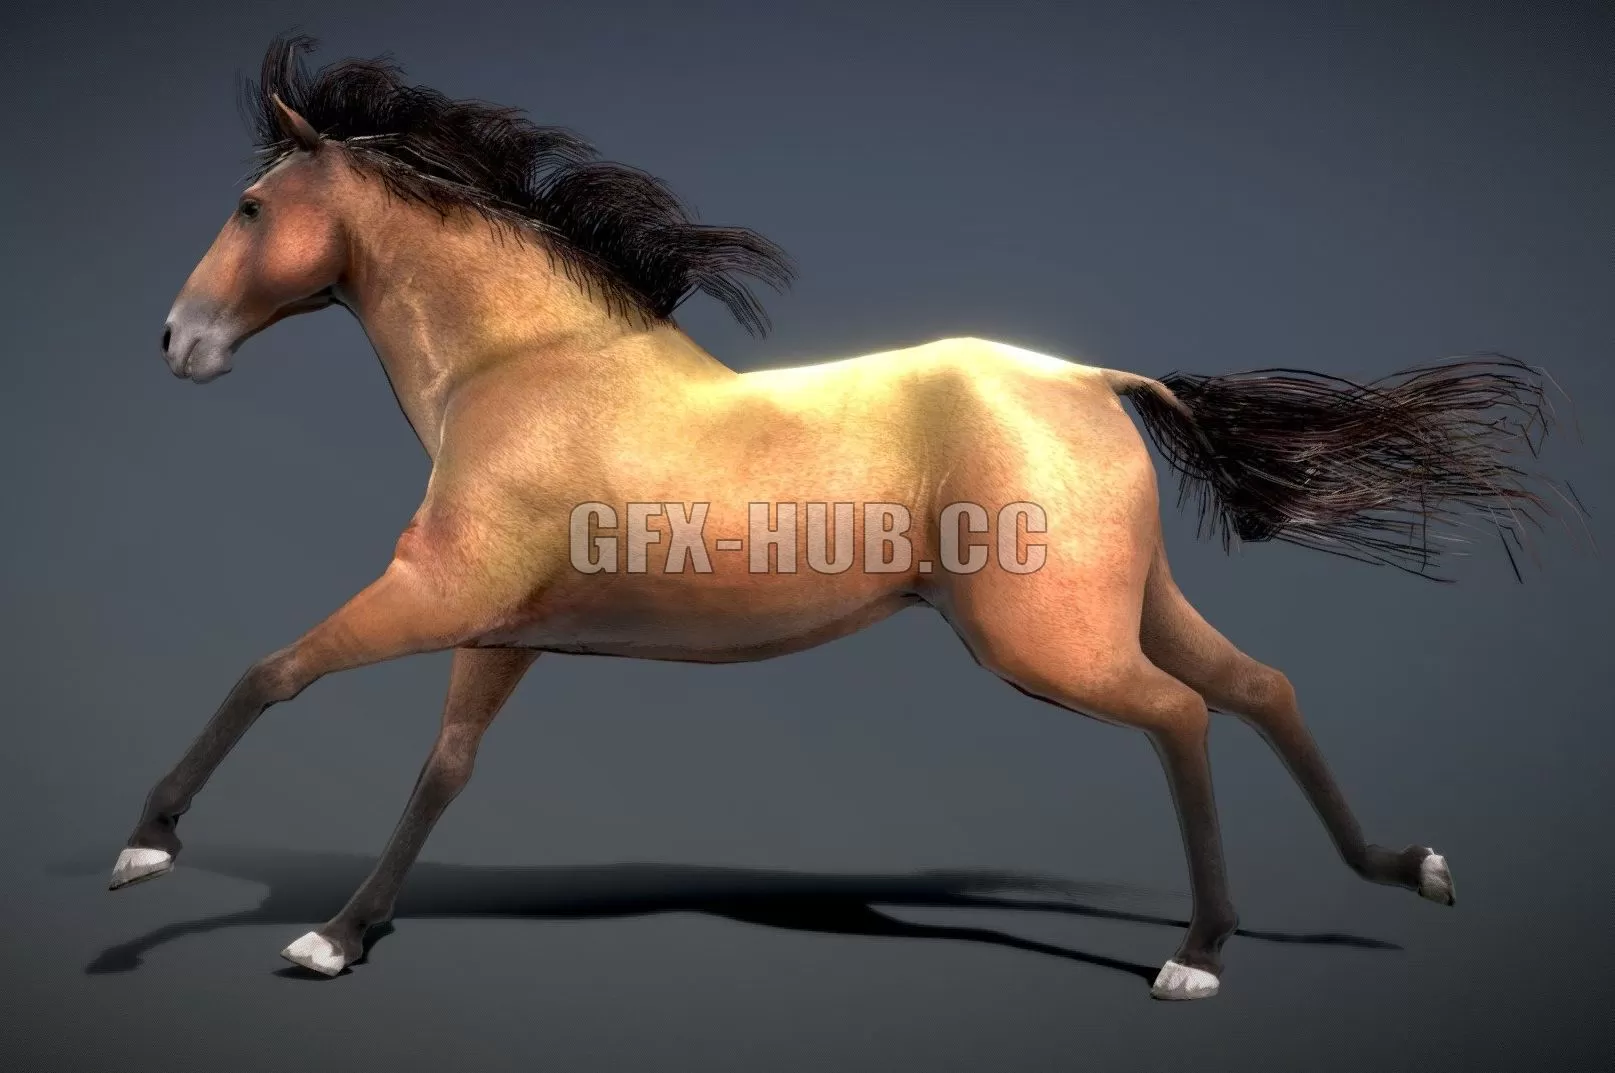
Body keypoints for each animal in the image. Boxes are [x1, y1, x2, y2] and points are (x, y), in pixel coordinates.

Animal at [113, 35, 1577, 1001]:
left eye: (250, 205)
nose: (177, 340)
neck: (522, 365)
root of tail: (1094, 378)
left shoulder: (430, 593)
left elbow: (271, 673)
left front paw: (147, 850)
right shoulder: (496, 630)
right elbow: (442, 773)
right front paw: (340, 934)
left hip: (1043, 639)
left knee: (1179, 714)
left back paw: (1197, 954)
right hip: (1127, 601)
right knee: (1257, 685)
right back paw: (1406, 866)